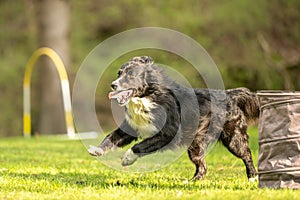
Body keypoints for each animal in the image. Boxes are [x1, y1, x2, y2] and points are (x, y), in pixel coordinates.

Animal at [88, 56, 258, 181]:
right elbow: (112, 136)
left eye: (131, 75)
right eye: (119, 73)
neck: (148, 96)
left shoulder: (168, 133)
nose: (113, 85)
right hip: (196, 143)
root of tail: (229, 95)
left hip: (232, 137)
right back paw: (192, 182)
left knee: (246, 155)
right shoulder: (132, 126)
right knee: (202, 165)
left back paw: (253, 178)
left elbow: (141, 145)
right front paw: (97, 150)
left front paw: (127, 159)